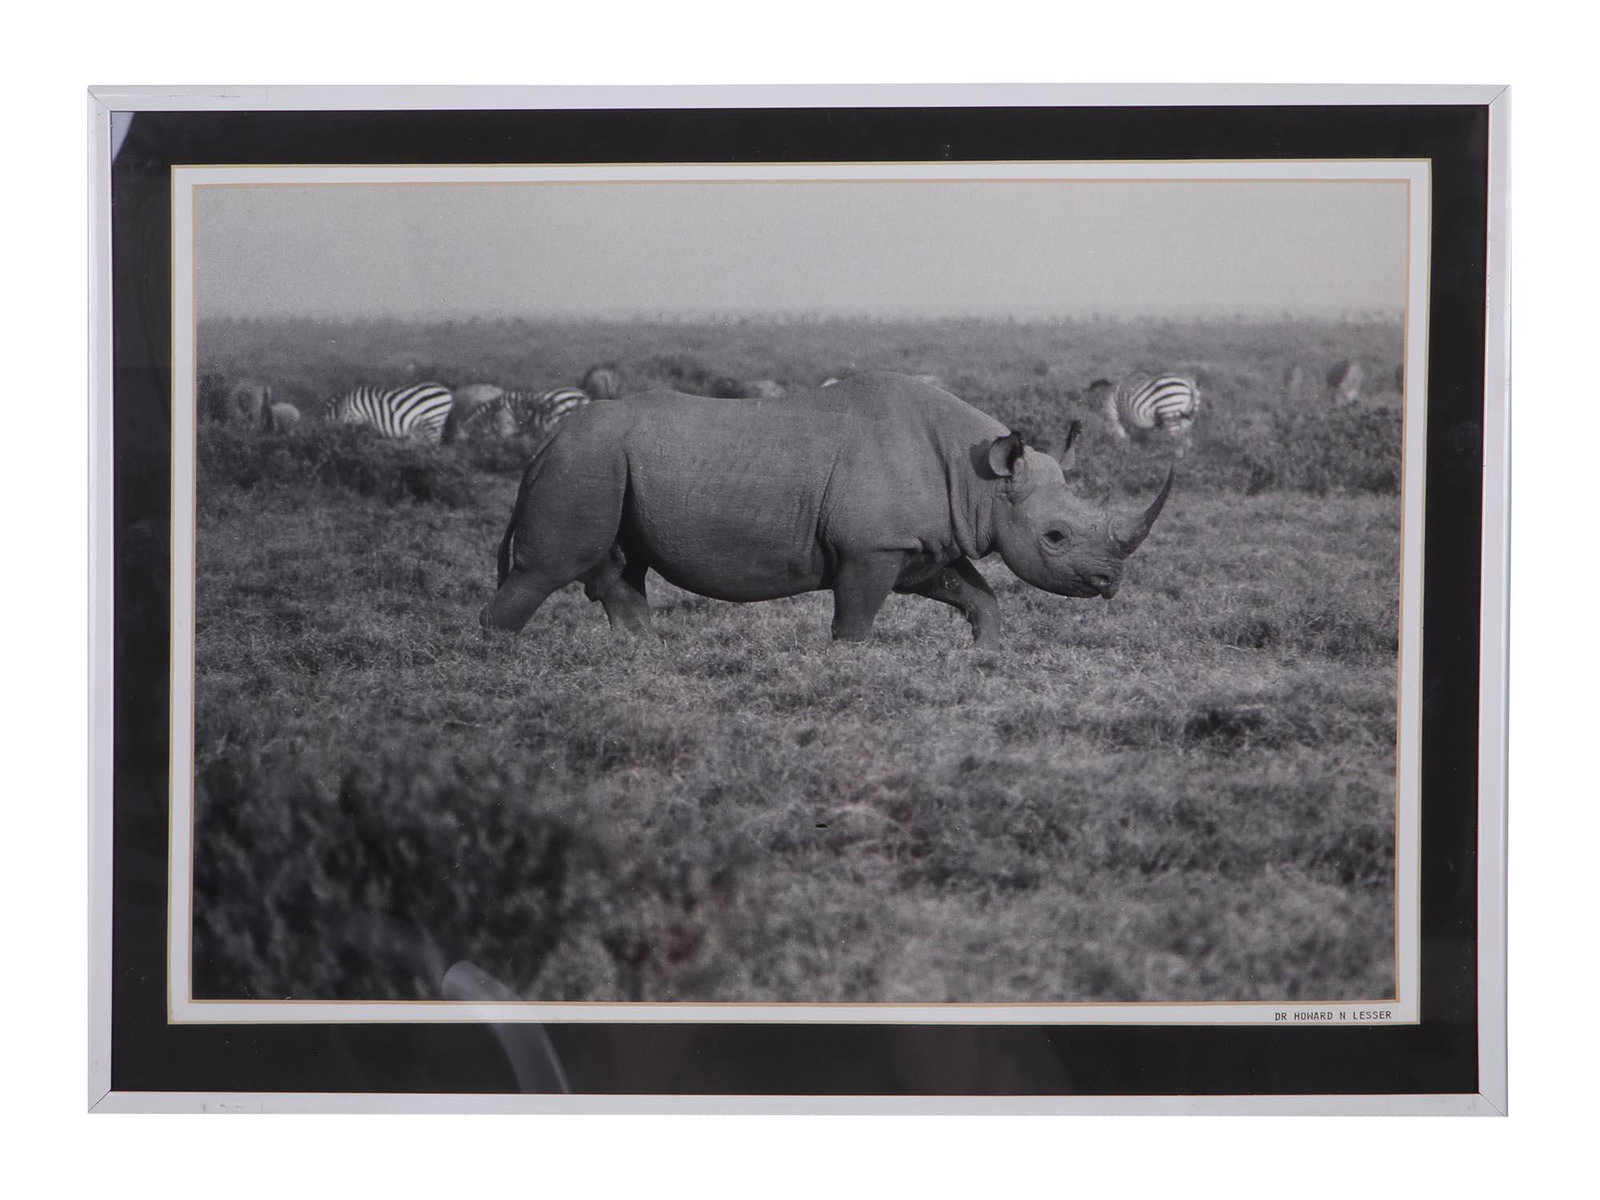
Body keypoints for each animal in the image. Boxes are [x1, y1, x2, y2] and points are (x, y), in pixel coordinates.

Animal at [480, 372, 1172, 646]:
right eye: (1055, 537)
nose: (1109, 582)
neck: (979, 478)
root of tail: (544, 445)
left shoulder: (922, 544)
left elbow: (978, 595)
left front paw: (986, 653)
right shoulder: (871, 548)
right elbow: (856, 619)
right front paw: (851, 664)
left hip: (606, 463)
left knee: (619, 570)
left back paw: (645, 656)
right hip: (586, 462)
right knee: (546, 570)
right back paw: (497, 662)